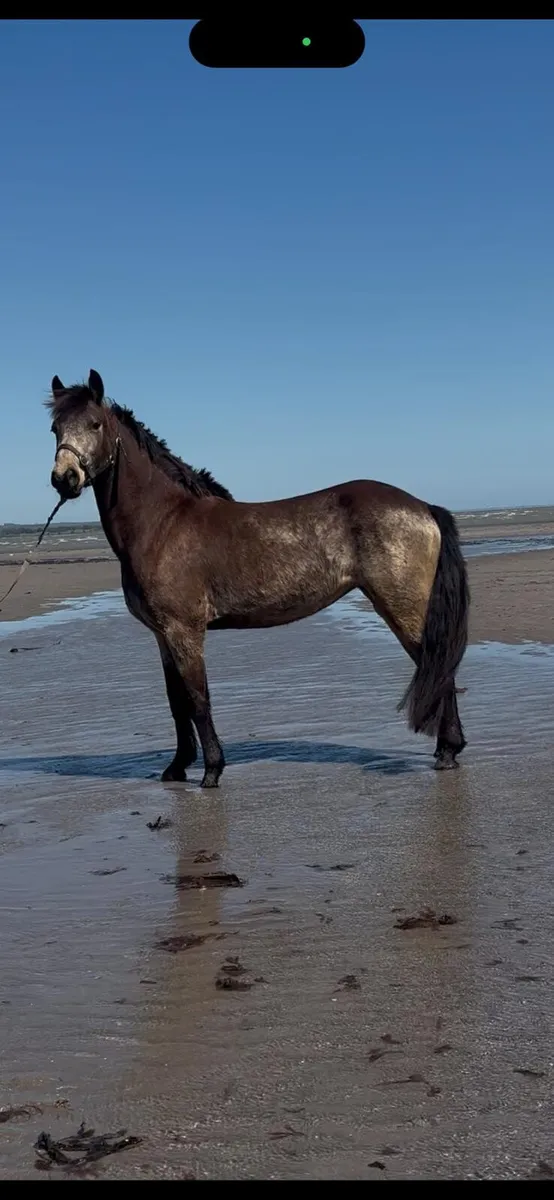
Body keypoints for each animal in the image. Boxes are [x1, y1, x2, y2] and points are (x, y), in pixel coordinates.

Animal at [47, 369, 470, 789]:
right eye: (55, 428)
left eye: (95, 424)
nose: (64, 478)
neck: (163, 523)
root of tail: (423, 507)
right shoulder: (162, 636)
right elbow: (176, 701)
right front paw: (177, 767)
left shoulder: (184, 631)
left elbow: (198, 699)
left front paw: (211, 770)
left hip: (405, 610)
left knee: (438, 667)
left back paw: (448, 752)